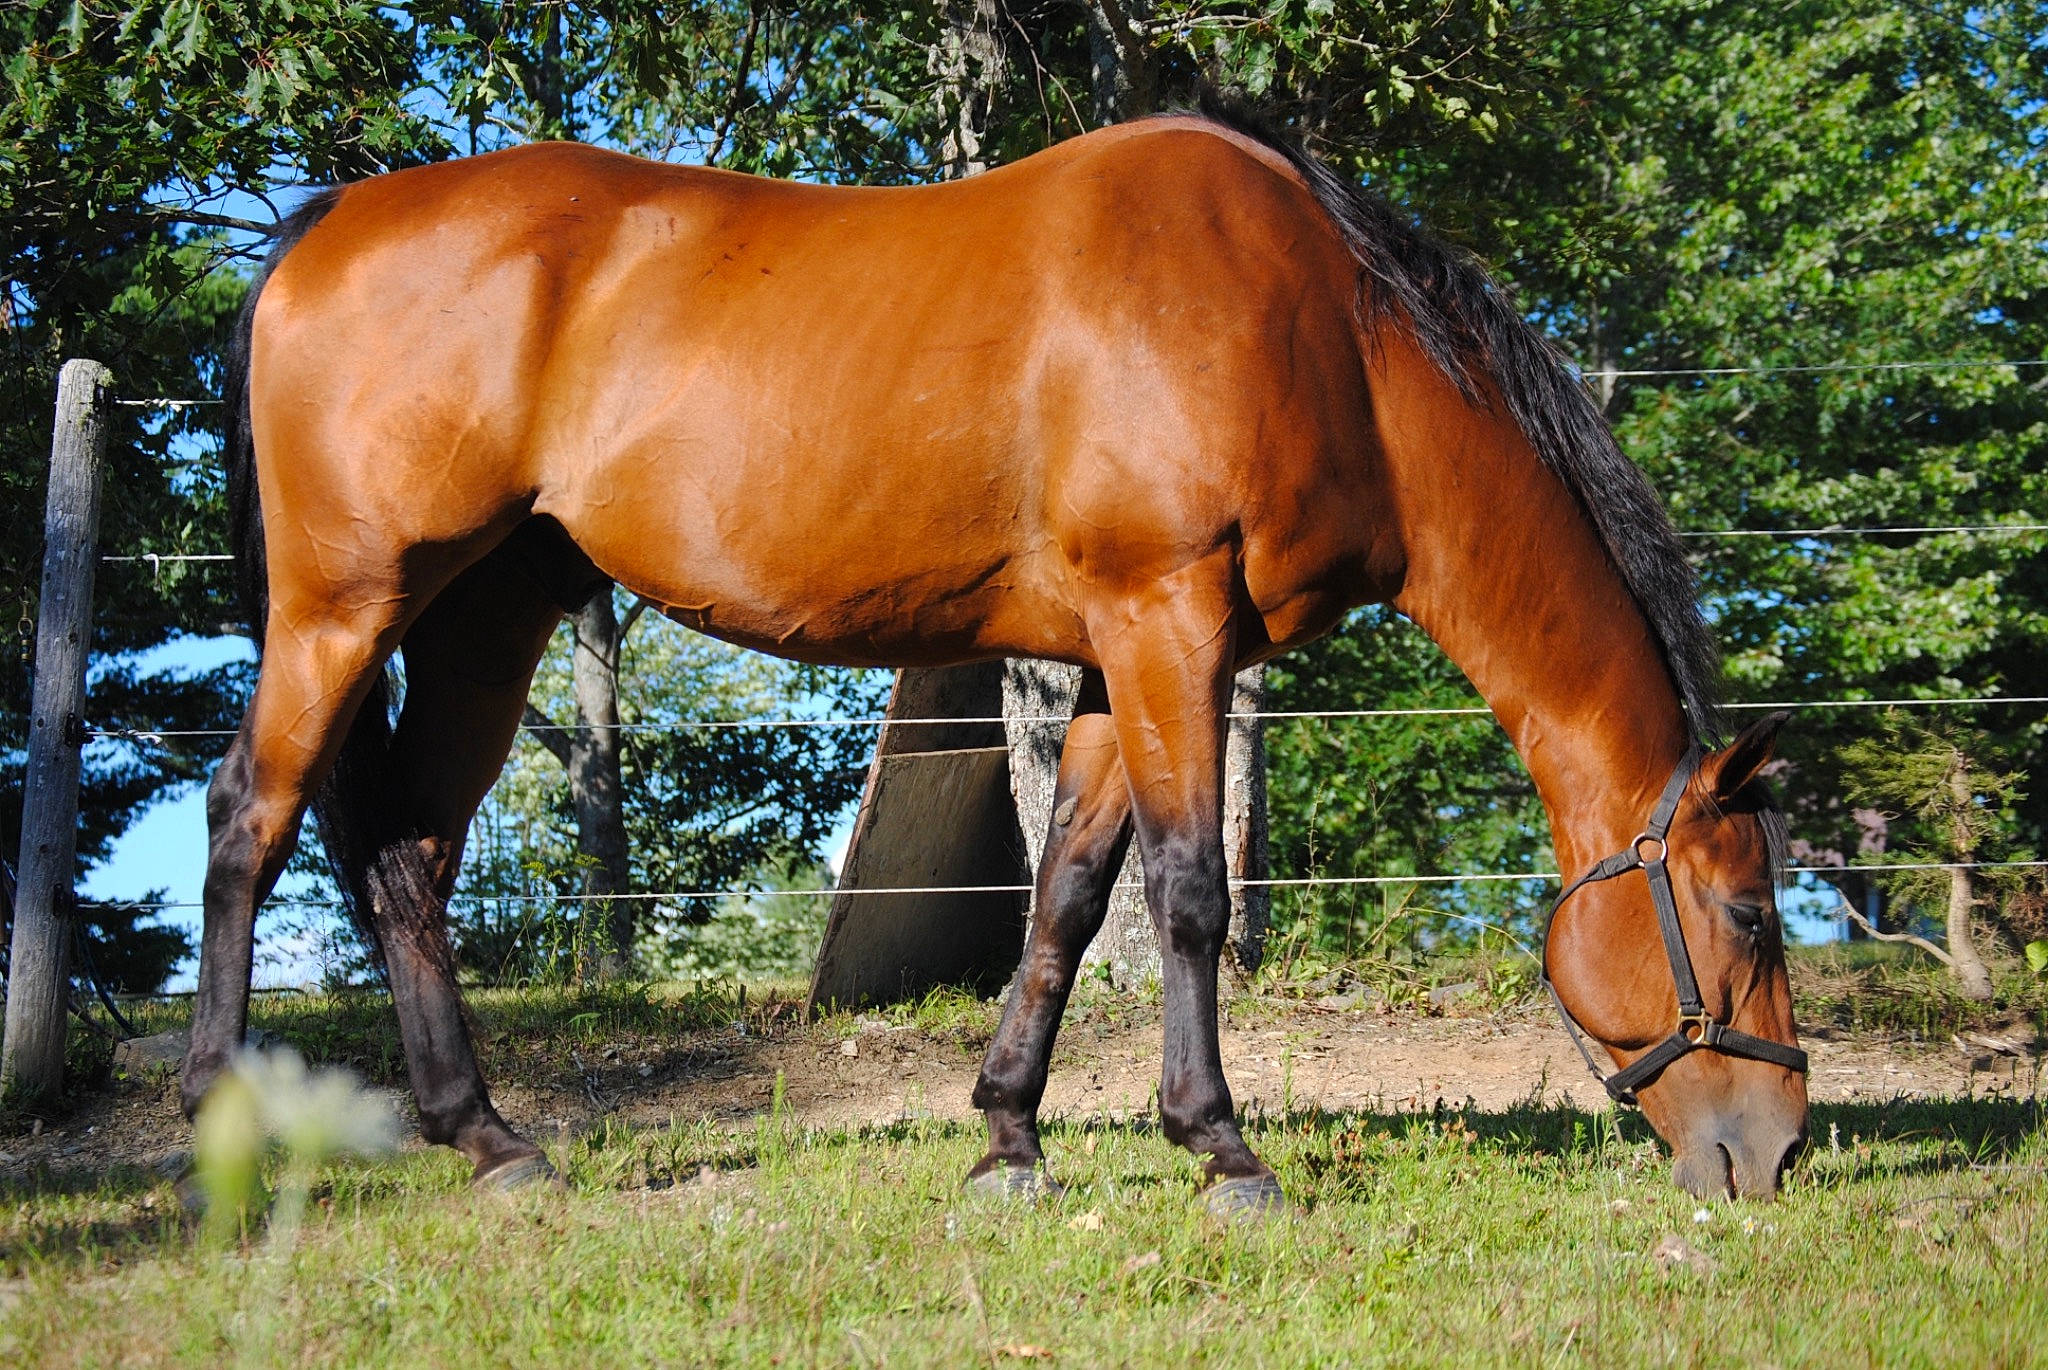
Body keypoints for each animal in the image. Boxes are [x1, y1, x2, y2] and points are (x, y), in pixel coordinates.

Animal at [184, 95, 1809, 1209]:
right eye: (1747, 915)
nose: (1777, 1150)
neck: (1327, 331)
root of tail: (328, 223)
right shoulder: (1167, 622)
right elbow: (1186, 894)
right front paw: (1222, 1148)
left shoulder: (1113, 656)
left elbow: (1068, 899)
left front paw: (1009, 1134)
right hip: (342, 606)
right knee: (250, 818)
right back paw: (221, 1115)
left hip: (485, 614)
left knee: (405, 855)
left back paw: (489, 1137)